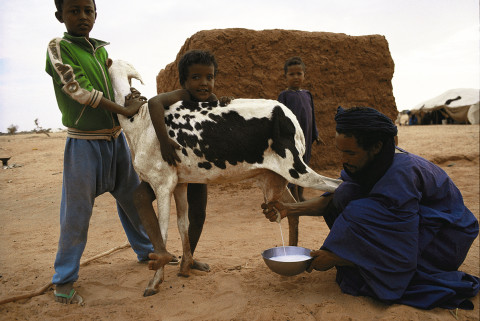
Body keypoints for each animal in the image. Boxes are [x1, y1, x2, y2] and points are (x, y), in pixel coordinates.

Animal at [109, 60, 342, 296]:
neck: (139, 121)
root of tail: (289, 114)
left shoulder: (162, 182)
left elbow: (162, 232)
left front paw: (156, 280)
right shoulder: (179, 183)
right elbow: (182, 224)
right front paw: (185, 265)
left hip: (296, 168)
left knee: (336, 186)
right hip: (274, 175)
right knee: (291, 210)